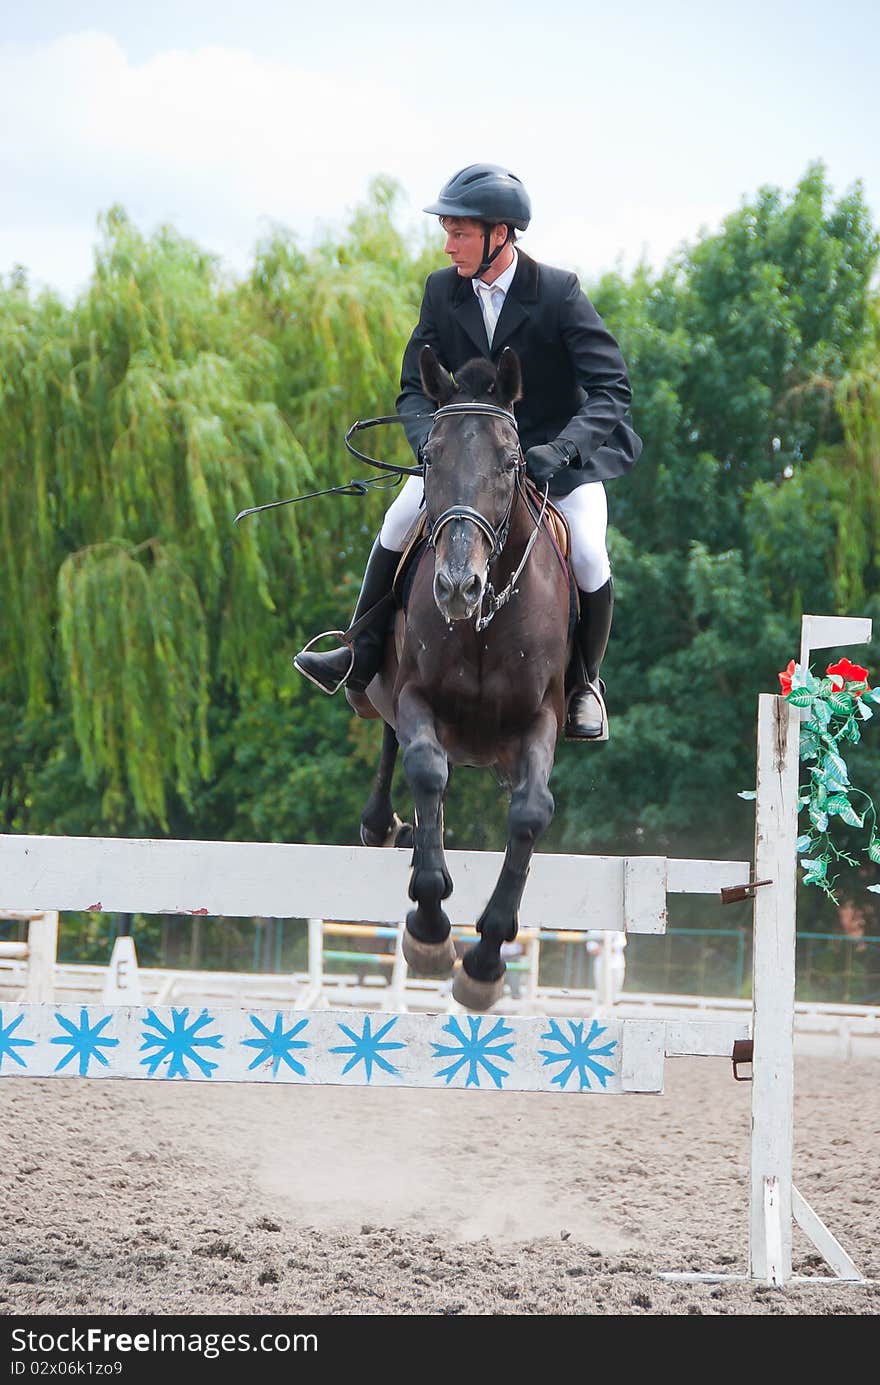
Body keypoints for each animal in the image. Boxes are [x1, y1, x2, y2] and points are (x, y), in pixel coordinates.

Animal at [347, 343, 573, 1008]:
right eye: (431, 457)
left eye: (512, 462)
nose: (455, 586)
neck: (485, 619)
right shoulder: (418, 695)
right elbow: (426, 769)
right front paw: (429, 927)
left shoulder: (540, 718)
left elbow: (530, 812)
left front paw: (486, 960)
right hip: (386, 687)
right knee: (397, 744)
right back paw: (383, 826)